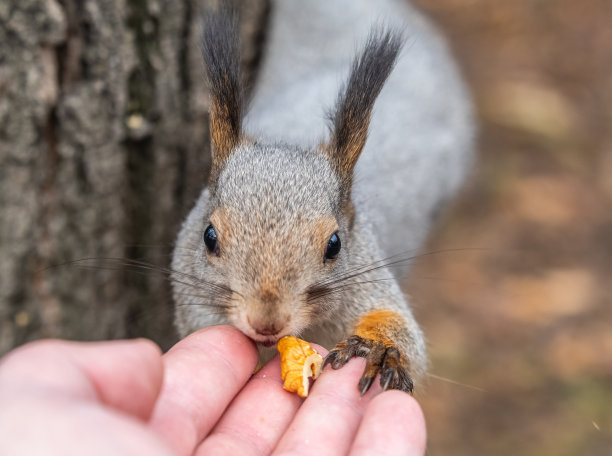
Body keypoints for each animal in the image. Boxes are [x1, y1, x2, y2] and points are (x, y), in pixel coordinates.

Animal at [171, 0, 474, 396]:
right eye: (209, 237)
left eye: (335, 244)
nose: (267, 322)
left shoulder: (369, 274)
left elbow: (404, 331)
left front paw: (377, 348)